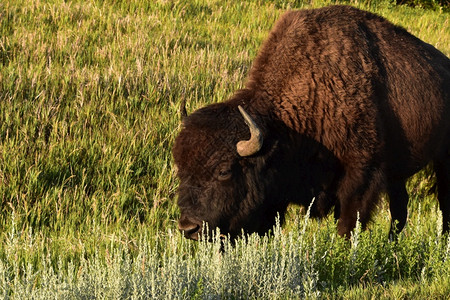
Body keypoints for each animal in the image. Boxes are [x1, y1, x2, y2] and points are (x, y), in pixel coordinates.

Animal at [171, 5, 446, 240]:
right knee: (401, 208)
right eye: (181, 169)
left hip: (442, 160)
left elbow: (347, 224)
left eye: (224, 171)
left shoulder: (362, 174)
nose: (188, 227)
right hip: (398, 173)